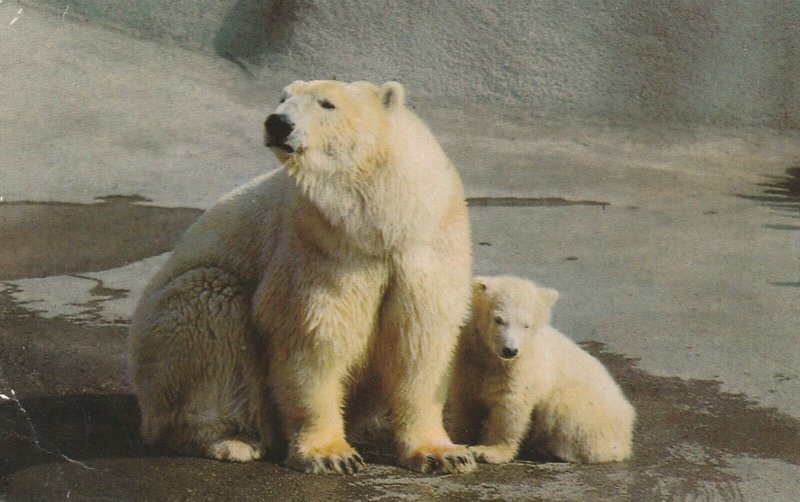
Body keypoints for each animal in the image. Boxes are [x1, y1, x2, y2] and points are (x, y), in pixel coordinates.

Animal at [127, 79, 472, 474]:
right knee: (211, 308)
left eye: (327, 104)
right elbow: (314, 336)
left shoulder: (424, 243)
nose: (278, 123)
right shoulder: (320, 244)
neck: (380, 220)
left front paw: (445, 453)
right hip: (164, 338)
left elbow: (420, 341)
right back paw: (231, 439)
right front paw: (331, 455)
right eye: (283, 98)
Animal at [446, 274, 636, 462]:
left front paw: (490, 451)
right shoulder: (470, 358)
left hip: (588, 410)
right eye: (499, 319)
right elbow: (466, 400)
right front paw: (458, 439)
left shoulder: (522, 368)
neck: (493, 358)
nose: (510, 350)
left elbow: (510, 406)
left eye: (526, 325)